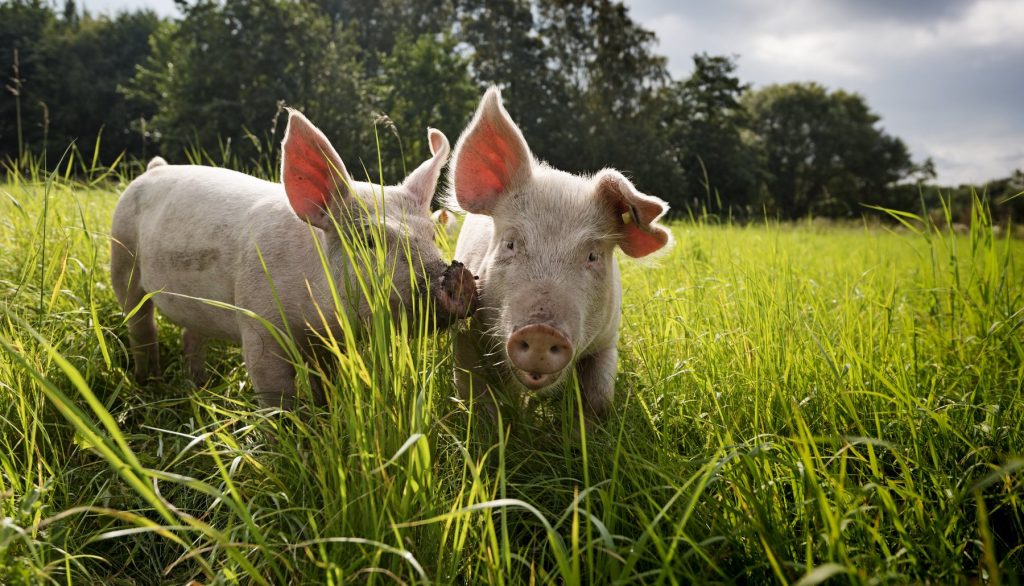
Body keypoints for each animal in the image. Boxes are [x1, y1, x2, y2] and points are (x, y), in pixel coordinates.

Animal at [110, 110, 478, 408]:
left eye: (432, 236)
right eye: (368, 240)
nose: (456, 277)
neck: (316, 322)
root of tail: (154, 168)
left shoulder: (328, 342)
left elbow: (326, 384)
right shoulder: (258, 324)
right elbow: (275, 393)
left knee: (191, 334)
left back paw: (198, 384)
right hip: (121, 257)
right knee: (141, 325)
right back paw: (148, 382)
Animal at [448, 88, 671, 422]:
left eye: (593, 255)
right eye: (510, 244)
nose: (542, 331)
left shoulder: (607, 340)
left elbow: (598, 398)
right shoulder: (465, 334)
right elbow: (476, 398)